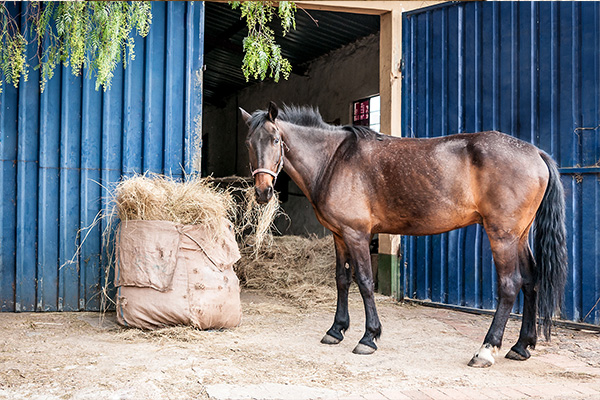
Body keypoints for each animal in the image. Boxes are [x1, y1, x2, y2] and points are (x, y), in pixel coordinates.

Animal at [240, 101, 568, 368]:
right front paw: (336, 330)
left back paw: (486, 350)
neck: (333, 160)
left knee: (510, 285)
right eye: (248, 143)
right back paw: (521, 346)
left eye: (276, 140)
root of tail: (536, 153)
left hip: (502, 235)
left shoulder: (357, 234)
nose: (263, 192)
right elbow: (342, 280)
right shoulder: (339, 235)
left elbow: (365, 281)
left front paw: (369, 337)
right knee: (531, 281)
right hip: (519, 235)